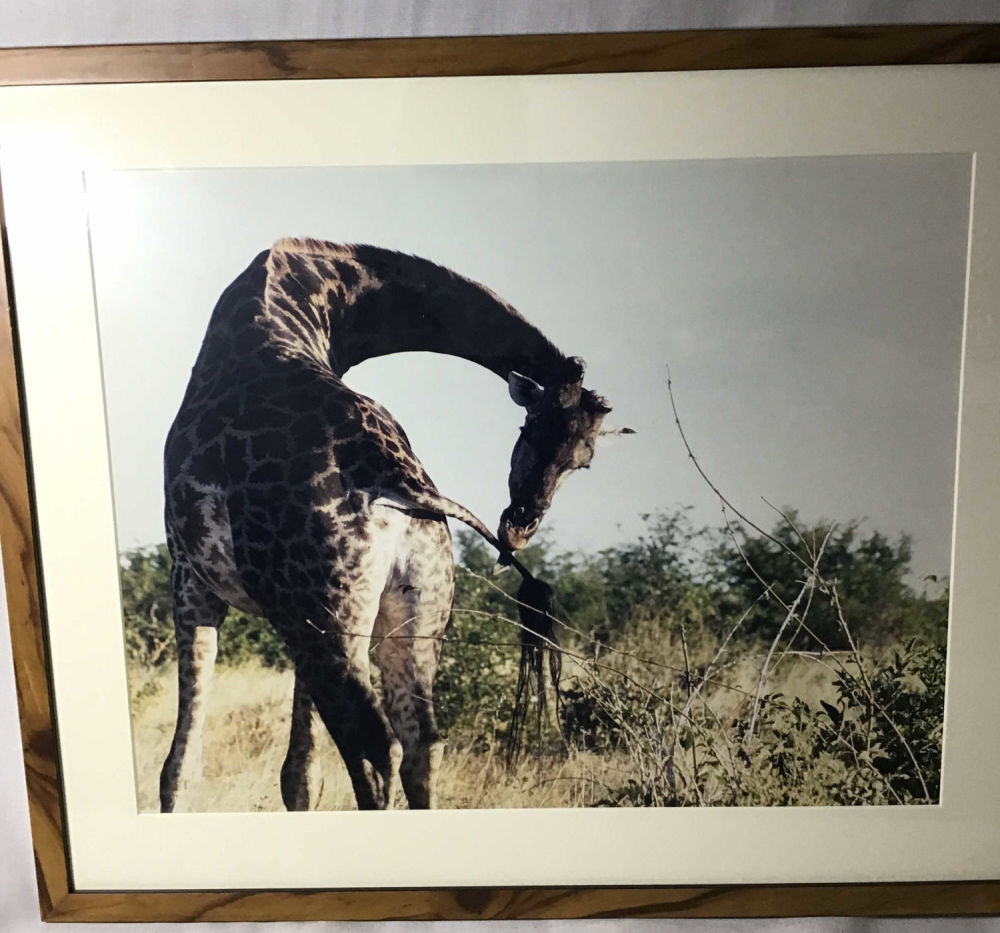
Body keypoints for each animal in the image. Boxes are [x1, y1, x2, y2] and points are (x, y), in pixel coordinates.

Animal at [159, 237, 615, 811]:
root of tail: (400, 487)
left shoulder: (191, 579)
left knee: (375, 747)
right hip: (418, 608)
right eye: (530, 434)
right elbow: (299, 773)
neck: (318, 306)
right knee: (424, 744)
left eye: (583, 462)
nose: (521, 525)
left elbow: (182, 768)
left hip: (328, 616)